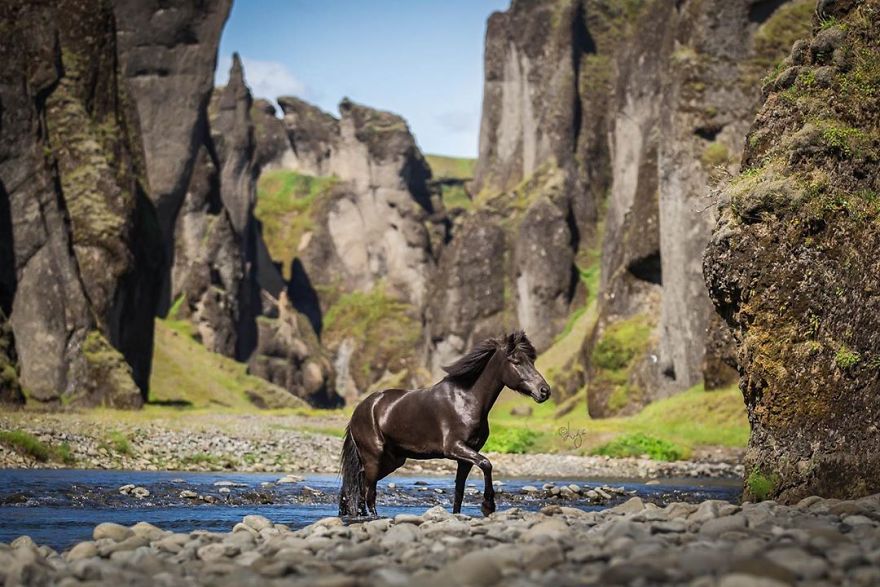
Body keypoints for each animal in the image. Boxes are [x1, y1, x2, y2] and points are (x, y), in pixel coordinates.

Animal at [338, 330, 551, 518]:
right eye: (516, 361)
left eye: (531, 361)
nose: (544, 391)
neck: (466, 400)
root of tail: (360, 410)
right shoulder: (454, 448)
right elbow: (486, 463)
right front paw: (488, 506)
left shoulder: (466, 457)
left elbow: (459, 491)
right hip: (374, 458)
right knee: (369, 493)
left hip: (392, 461)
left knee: (355, 486)